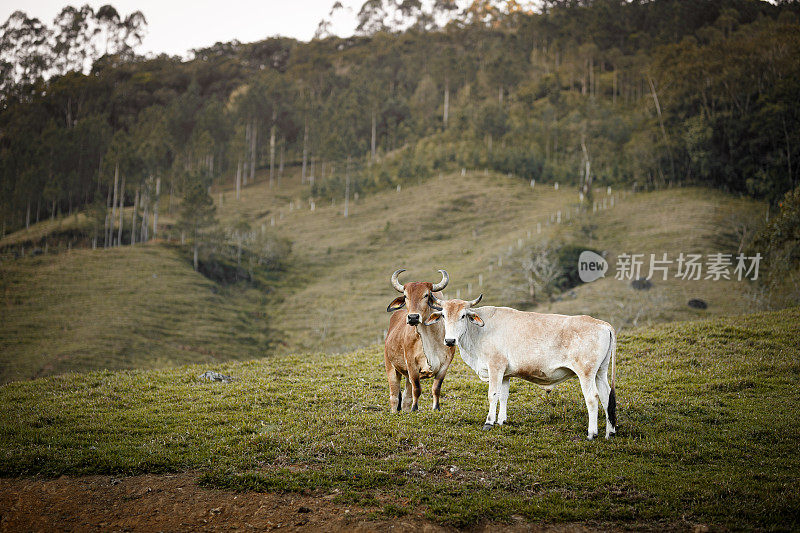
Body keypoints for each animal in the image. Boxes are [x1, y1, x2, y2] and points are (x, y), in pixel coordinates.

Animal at [382, 270, 454, 412]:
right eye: (405, 296)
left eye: (426, 295)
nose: (413, 317)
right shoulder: (412, 365)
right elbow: (417, 389)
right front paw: (415, 408)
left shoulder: (445, 365)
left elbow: (436, 388)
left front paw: (436, 408)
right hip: (391, 367)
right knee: (394, 396)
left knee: (406, 397)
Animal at [428, 294, 616, 438]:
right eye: (443, 316)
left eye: (462, 316)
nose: (449, 340)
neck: (480, 331)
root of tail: (603, 324)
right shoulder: (505, 374)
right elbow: (503, 396)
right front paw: (501, 420)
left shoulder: (495, 367)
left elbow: (492, 394)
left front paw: (489, 422)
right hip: (600, 372)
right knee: (606, 396)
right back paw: (610, 432)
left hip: (586, 373)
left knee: (593, 398)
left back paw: (592, 433)